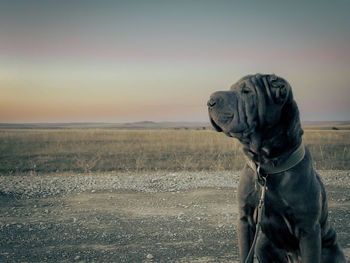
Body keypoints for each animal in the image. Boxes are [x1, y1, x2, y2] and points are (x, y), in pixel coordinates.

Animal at [206, 74, 346, 263]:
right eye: (231, 88)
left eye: (247, 91)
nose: (210, 101)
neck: (266, 164)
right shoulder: (245, 220)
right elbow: (245, 254)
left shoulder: (308, 229)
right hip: (262, 244)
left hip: (331, 252)